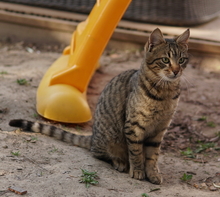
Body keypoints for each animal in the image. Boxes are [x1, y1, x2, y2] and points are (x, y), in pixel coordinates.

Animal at [9, 28, 189, 185]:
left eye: (182, 60)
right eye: (165, 60)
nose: (176, 71)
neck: (165, 92)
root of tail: (93, 136)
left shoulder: (159, 130)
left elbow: (153, 156)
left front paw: (152, 173)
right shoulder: (134, 126)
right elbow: (136, 152)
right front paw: (138, 170)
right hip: (110, 139)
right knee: (99, 153)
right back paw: (119, 162)